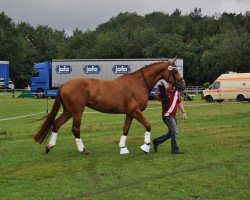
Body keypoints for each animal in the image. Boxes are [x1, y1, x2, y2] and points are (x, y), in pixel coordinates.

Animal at [33, 57, 186, 155]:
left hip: (69, 111)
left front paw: (122, 147)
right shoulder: (135, 111)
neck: (139, 83)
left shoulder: (130, 113)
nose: (183, 85)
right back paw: (83, 150)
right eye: (175, 71)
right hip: (77, 111)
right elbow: (148, 126)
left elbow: (125, 129)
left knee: (56, 124)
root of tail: (64, 85)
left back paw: (49, 146)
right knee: (75, 129)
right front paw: (146, 146)